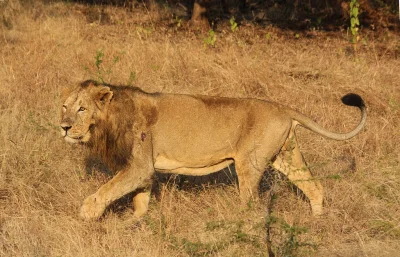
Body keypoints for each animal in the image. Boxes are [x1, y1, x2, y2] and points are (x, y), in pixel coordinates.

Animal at [60, 79, 366, 218]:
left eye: (82, 109)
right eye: (64, 107)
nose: (63, 126)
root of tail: (282, 107)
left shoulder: (138, 166)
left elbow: (106, 190)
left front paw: (87, 214)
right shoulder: (143, 170)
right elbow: (140, 200)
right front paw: (134, 224)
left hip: (249, 163)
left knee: (251, 203)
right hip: (286, 156)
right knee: (315, 187)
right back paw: (316, 221)